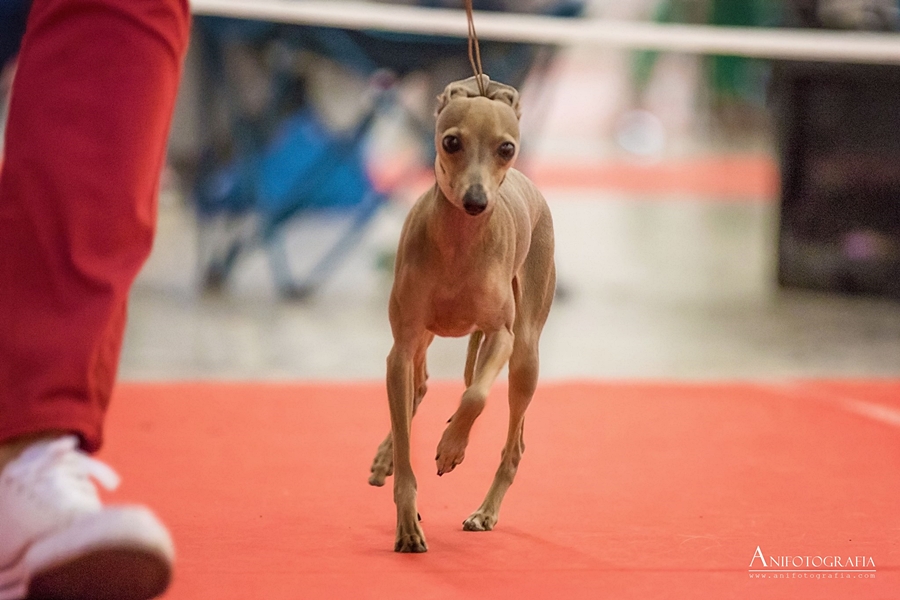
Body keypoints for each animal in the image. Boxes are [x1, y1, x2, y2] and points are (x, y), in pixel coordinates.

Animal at [368, 75, 555, 553]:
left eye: (505, 147)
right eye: (451, 141)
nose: (476, 201)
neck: (460, 244)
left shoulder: (500, 335)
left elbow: (475, 396)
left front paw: (453, 446)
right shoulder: (401, 346)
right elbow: (406, 434)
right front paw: (407, 523)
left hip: (525, 355)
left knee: (513, 446)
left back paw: (486, 512)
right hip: (423, 338)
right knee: (416, 390)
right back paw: (386, 457)